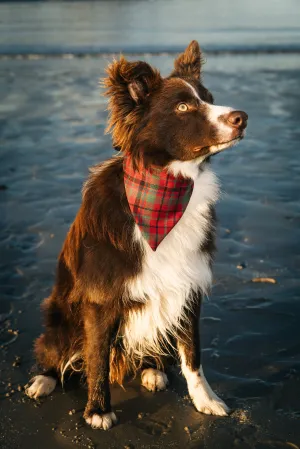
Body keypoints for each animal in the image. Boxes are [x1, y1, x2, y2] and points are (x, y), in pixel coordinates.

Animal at [25, 40, 247, 428]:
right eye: (184, 106)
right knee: (54, 351)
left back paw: (151, 369)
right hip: (59, 314)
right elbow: (97, 357)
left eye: (210, 98)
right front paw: (98, 410)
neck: (167, 190)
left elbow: (193, 355)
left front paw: (205, 400)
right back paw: (44, 379)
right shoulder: (100, 299)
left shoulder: (188, 288)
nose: (242, 117)